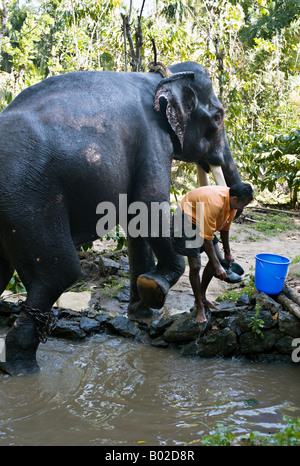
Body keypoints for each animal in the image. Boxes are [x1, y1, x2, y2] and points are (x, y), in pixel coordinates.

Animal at [0, 62, 240, 374]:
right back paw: (23, 371)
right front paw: (153, 287)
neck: (160, 77)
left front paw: (141, 312)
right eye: (218, 117)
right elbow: (149, 205)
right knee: (59, 273)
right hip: (28, 196)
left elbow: (136, 219)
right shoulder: (152, 140)